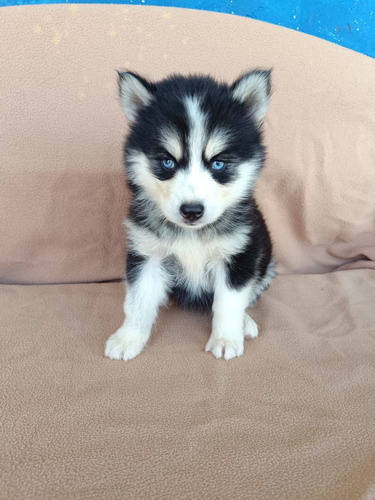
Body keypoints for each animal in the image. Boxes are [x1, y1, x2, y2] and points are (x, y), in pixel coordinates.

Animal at [106, 69, 276, 360]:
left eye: (218, 163)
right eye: (167, 162)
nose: (192, 211)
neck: (192, 234)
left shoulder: (238, 256)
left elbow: (229, 302)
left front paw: (226, 338)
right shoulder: (148, 254)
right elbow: (139, 300)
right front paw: (129, 338)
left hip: (264, 262)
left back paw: (244, 323)